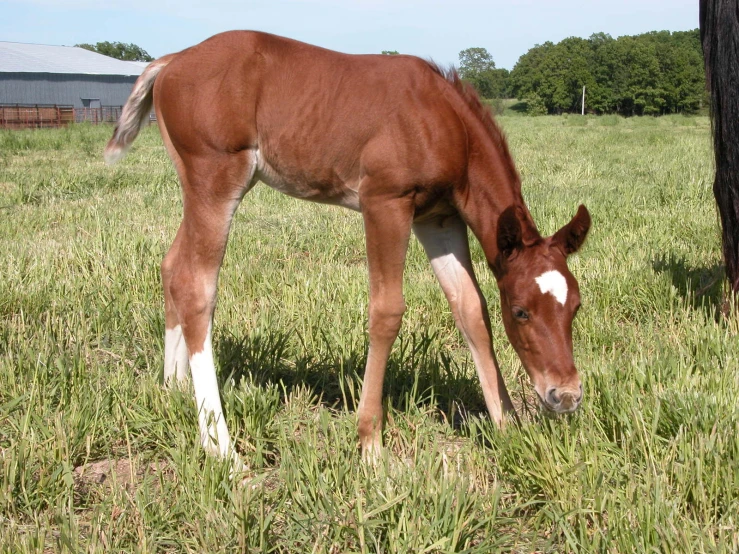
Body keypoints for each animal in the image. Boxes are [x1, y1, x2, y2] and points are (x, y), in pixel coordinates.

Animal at [104, 30, 592, 462]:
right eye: (522, 312)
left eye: (576, 307)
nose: (565, 395)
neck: (444, 120)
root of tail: (172, 60)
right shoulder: (385, 202)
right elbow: (387, 312)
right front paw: (370, 444)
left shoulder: (439, 218)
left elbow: (471, 309)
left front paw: (506, 426)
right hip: (216, 178)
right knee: (196, 284)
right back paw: (222, 448)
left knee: (172, 266)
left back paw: (174, 390)